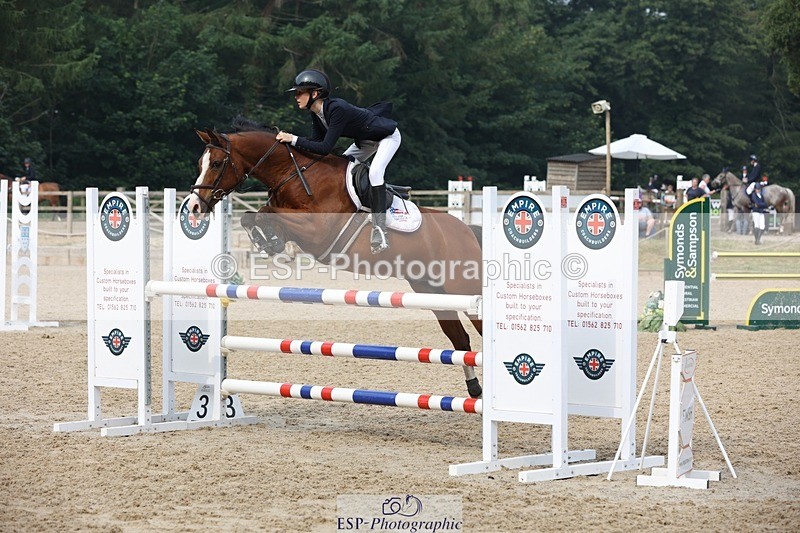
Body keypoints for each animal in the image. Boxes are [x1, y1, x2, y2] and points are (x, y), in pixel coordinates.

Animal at [187, 121, 484, 398]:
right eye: (200, 163)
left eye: (217, 163)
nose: (194, 206)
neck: (293, 173)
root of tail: (467, 231)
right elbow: (256, 215)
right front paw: (269, 241)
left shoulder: (317, 231)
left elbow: (263, 212)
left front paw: (269, 240)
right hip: (433, 292)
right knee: (460, 339)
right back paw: (475, 389)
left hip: (463, 291)